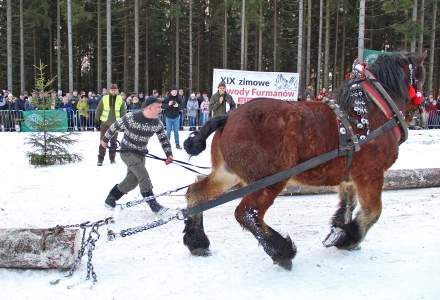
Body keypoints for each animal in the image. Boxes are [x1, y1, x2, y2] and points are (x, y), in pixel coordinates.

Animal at [181, 52, 422, 270]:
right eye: (419, 77)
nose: (418, 110)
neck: (369, 113)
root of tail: (229, 117)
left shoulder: (349, 177)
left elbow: (347, 206)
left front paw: (338, 233)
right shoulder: (370, 174)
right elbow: (373, 211)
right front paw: (350, 238)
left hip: (228, 173)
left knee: (196, 192)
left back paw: (197, 242)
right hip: (270, 180)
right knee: (247, 213)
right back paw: (282, 251)